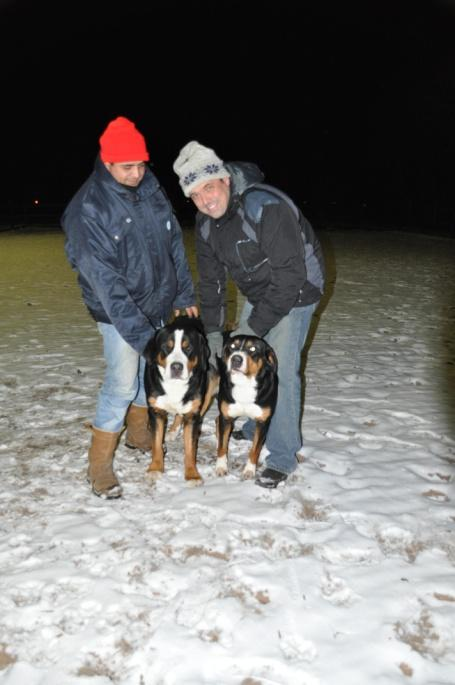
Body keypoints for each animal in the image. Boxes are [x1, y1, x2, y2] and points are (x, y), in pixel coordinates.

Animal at [144, 318, 219, 484]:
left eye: (188, 347)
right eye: (167, 347)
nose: (176, 367)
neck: (175, 386)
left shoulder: (192, 414)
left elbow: (190, 448)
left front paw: (192, 475)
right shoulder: (156, 411)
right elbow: (156, 443)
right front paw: (155, 469)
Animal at [216, 334, 280, 478]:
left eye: (252, 349)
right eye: (232, 346)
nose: (236, 359)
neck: (244, 384)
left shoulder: (263, 422)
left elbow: (255, 449)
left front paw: (249, 470)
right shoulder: (226, 416)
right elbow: (222, 445)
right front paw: (221, 466)